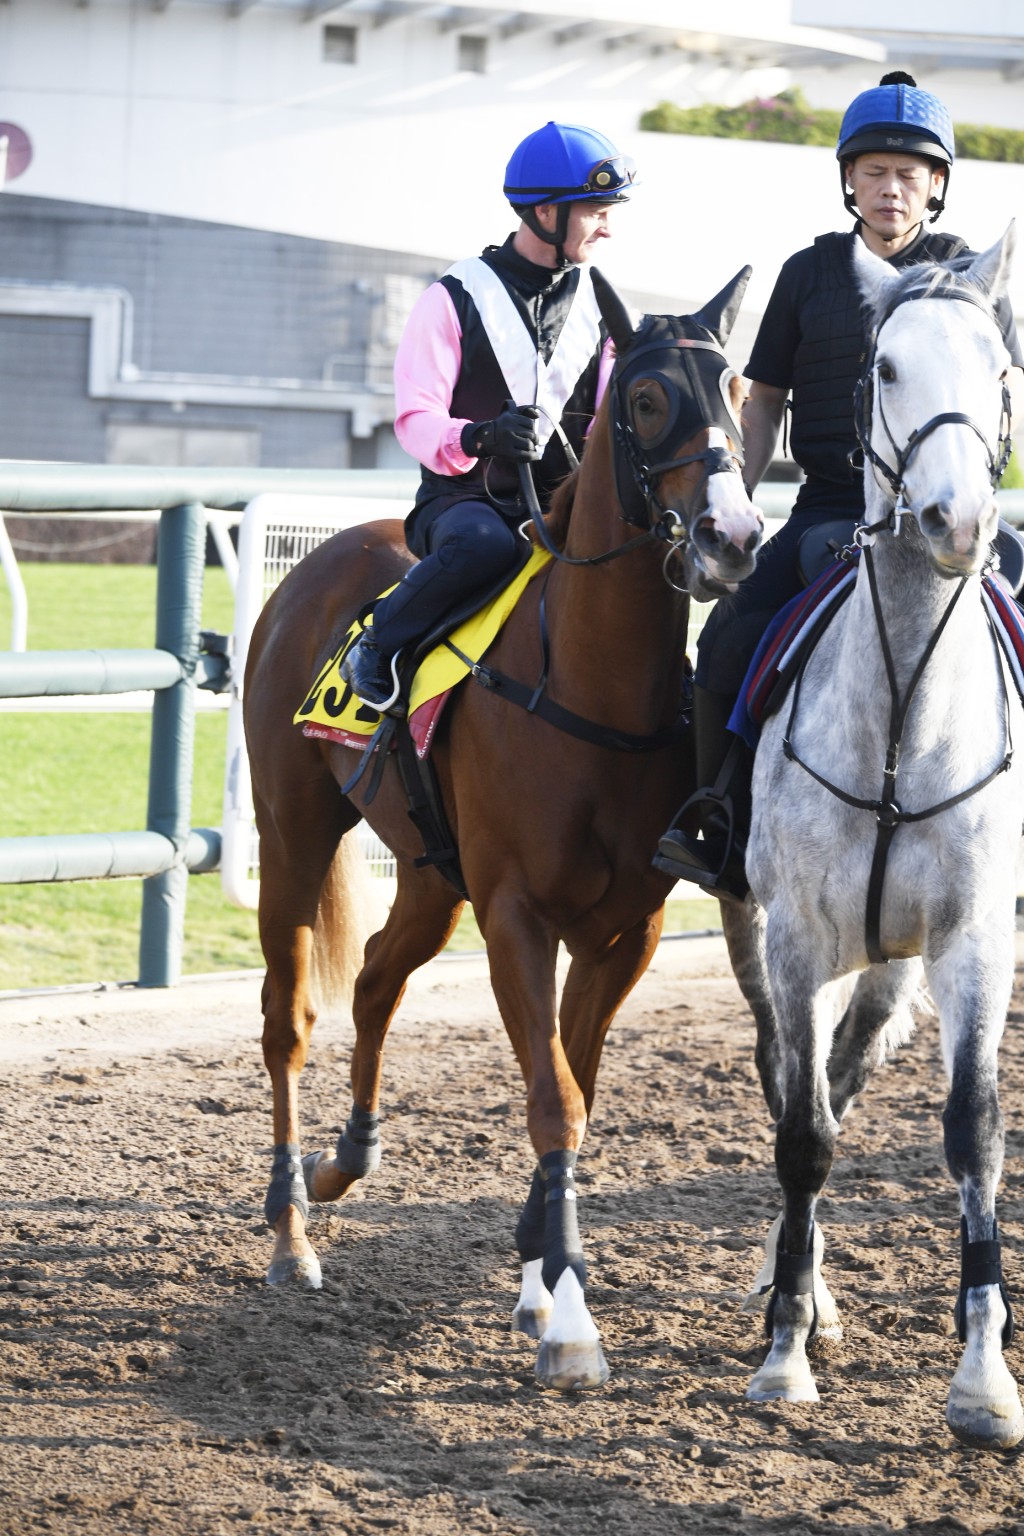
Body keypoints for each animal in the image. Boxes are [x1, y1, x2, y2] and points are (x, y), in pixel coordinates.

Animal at [244, 267, 764, 1394]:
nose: (733, 537)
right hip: (293, 833)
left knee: (378, 978)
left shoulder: (625, 931)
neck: (591, 690)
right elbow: (553, 1097)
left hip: (432, 877)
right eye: (646, 399)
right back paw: (291, 1229)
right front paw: (567, 1320)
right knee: (289, 1018)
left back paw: (348, 1157)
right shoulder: (517, 914)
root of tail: (318, 565)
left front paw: (539, 1272)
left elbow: (572, 1081)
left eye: (739, 388)